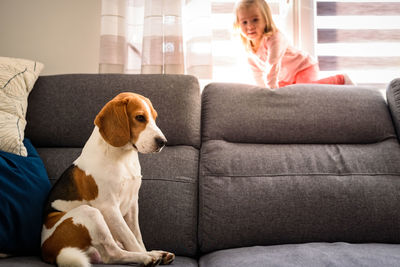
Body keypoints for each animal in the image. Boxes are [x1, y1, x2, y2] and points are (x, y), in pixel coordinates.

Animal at [41, 92, 174, 267]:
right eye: (140, 117)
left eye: (154, 117)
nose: (163, 142)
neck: (122, 157)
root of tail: (47, 251)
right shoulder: (109, 207)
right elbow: (130, 238)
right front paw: (144, 254)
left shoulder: (132, 204)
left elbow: (137, 236)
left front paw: (145, 250)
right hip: (90, 213)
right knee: (112, 253)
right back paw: (147, 257)